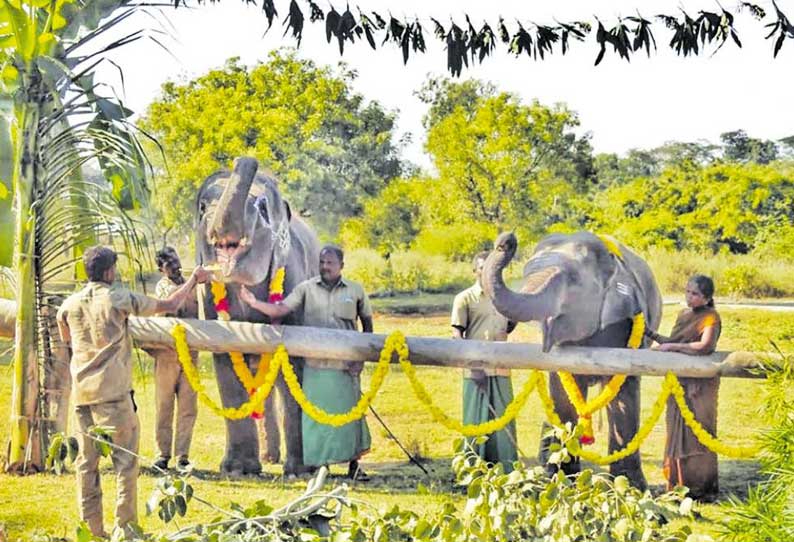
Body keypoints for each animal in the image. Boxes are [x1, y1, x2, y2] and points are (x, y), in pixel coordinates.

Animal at [195, 157, 318, 476]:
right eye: (202, 207)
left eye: (263, 208)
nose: (245, 159)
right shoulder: (210, 302)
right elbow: (225, 358)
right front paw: (237, 469)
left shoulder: (295, 281)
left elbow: (295, 362)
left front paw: (300, 471)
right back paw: (268, 458)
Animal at [482, 230, 664, 488]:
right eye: (526, 273)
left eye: (574, 280)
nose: (506, 241)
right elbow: (562, 388)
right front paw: (561, 480)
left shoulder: (627, 324)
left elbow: (623, 390)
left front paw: (628, 486)